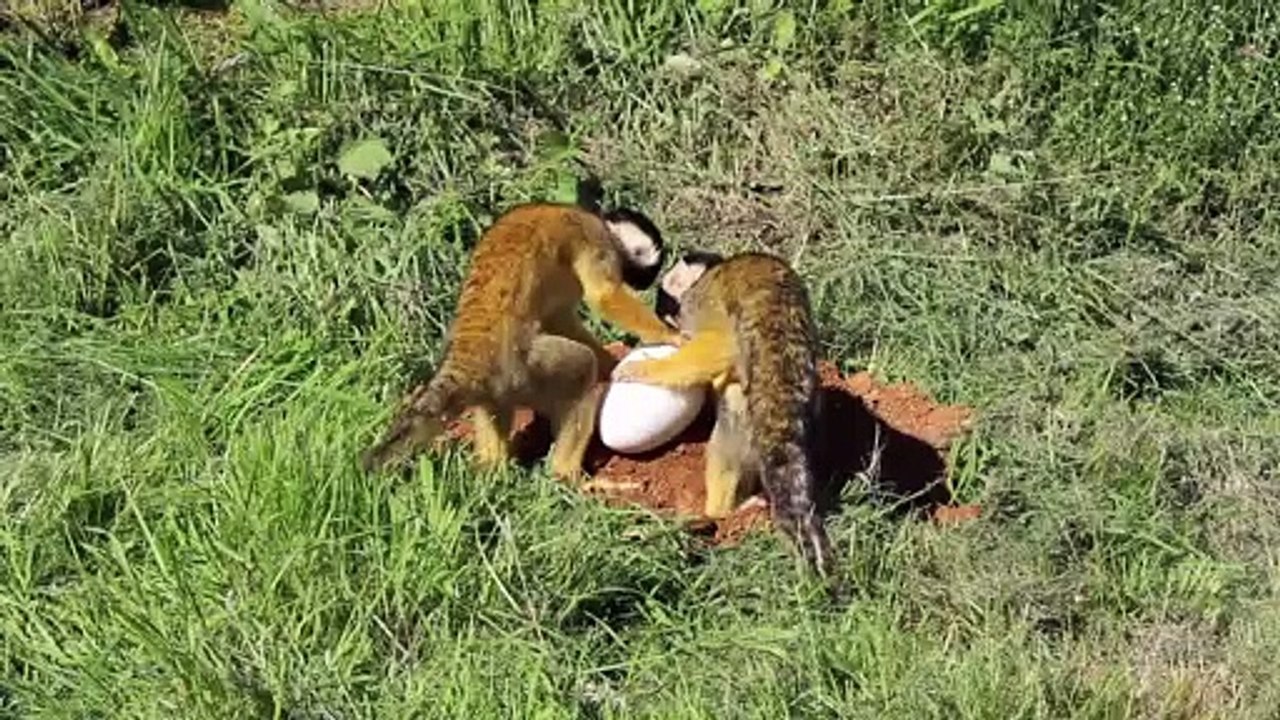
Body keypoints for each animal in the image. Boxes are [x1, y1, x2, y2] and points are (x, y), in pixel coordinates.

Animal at [359, 200, 681, 481]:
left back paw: (493, 468)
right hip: (524, 369)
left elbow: (557, 317)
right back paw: (566, 474)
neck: (599, 220)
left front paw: (610, 361)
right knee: (580, 372)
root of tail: (466, 357)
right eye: (649, 270)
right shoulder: (594, 238)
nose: (644, 283)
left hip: (496, 382)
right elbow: (603, 295)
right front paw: (670, 336)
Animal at [613, 250, 836, 579]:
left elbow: (720, 342)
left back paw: (721, 511)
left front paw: (644, 369)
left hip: (748, 412)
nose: (678, 333)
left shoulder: (700, 299)